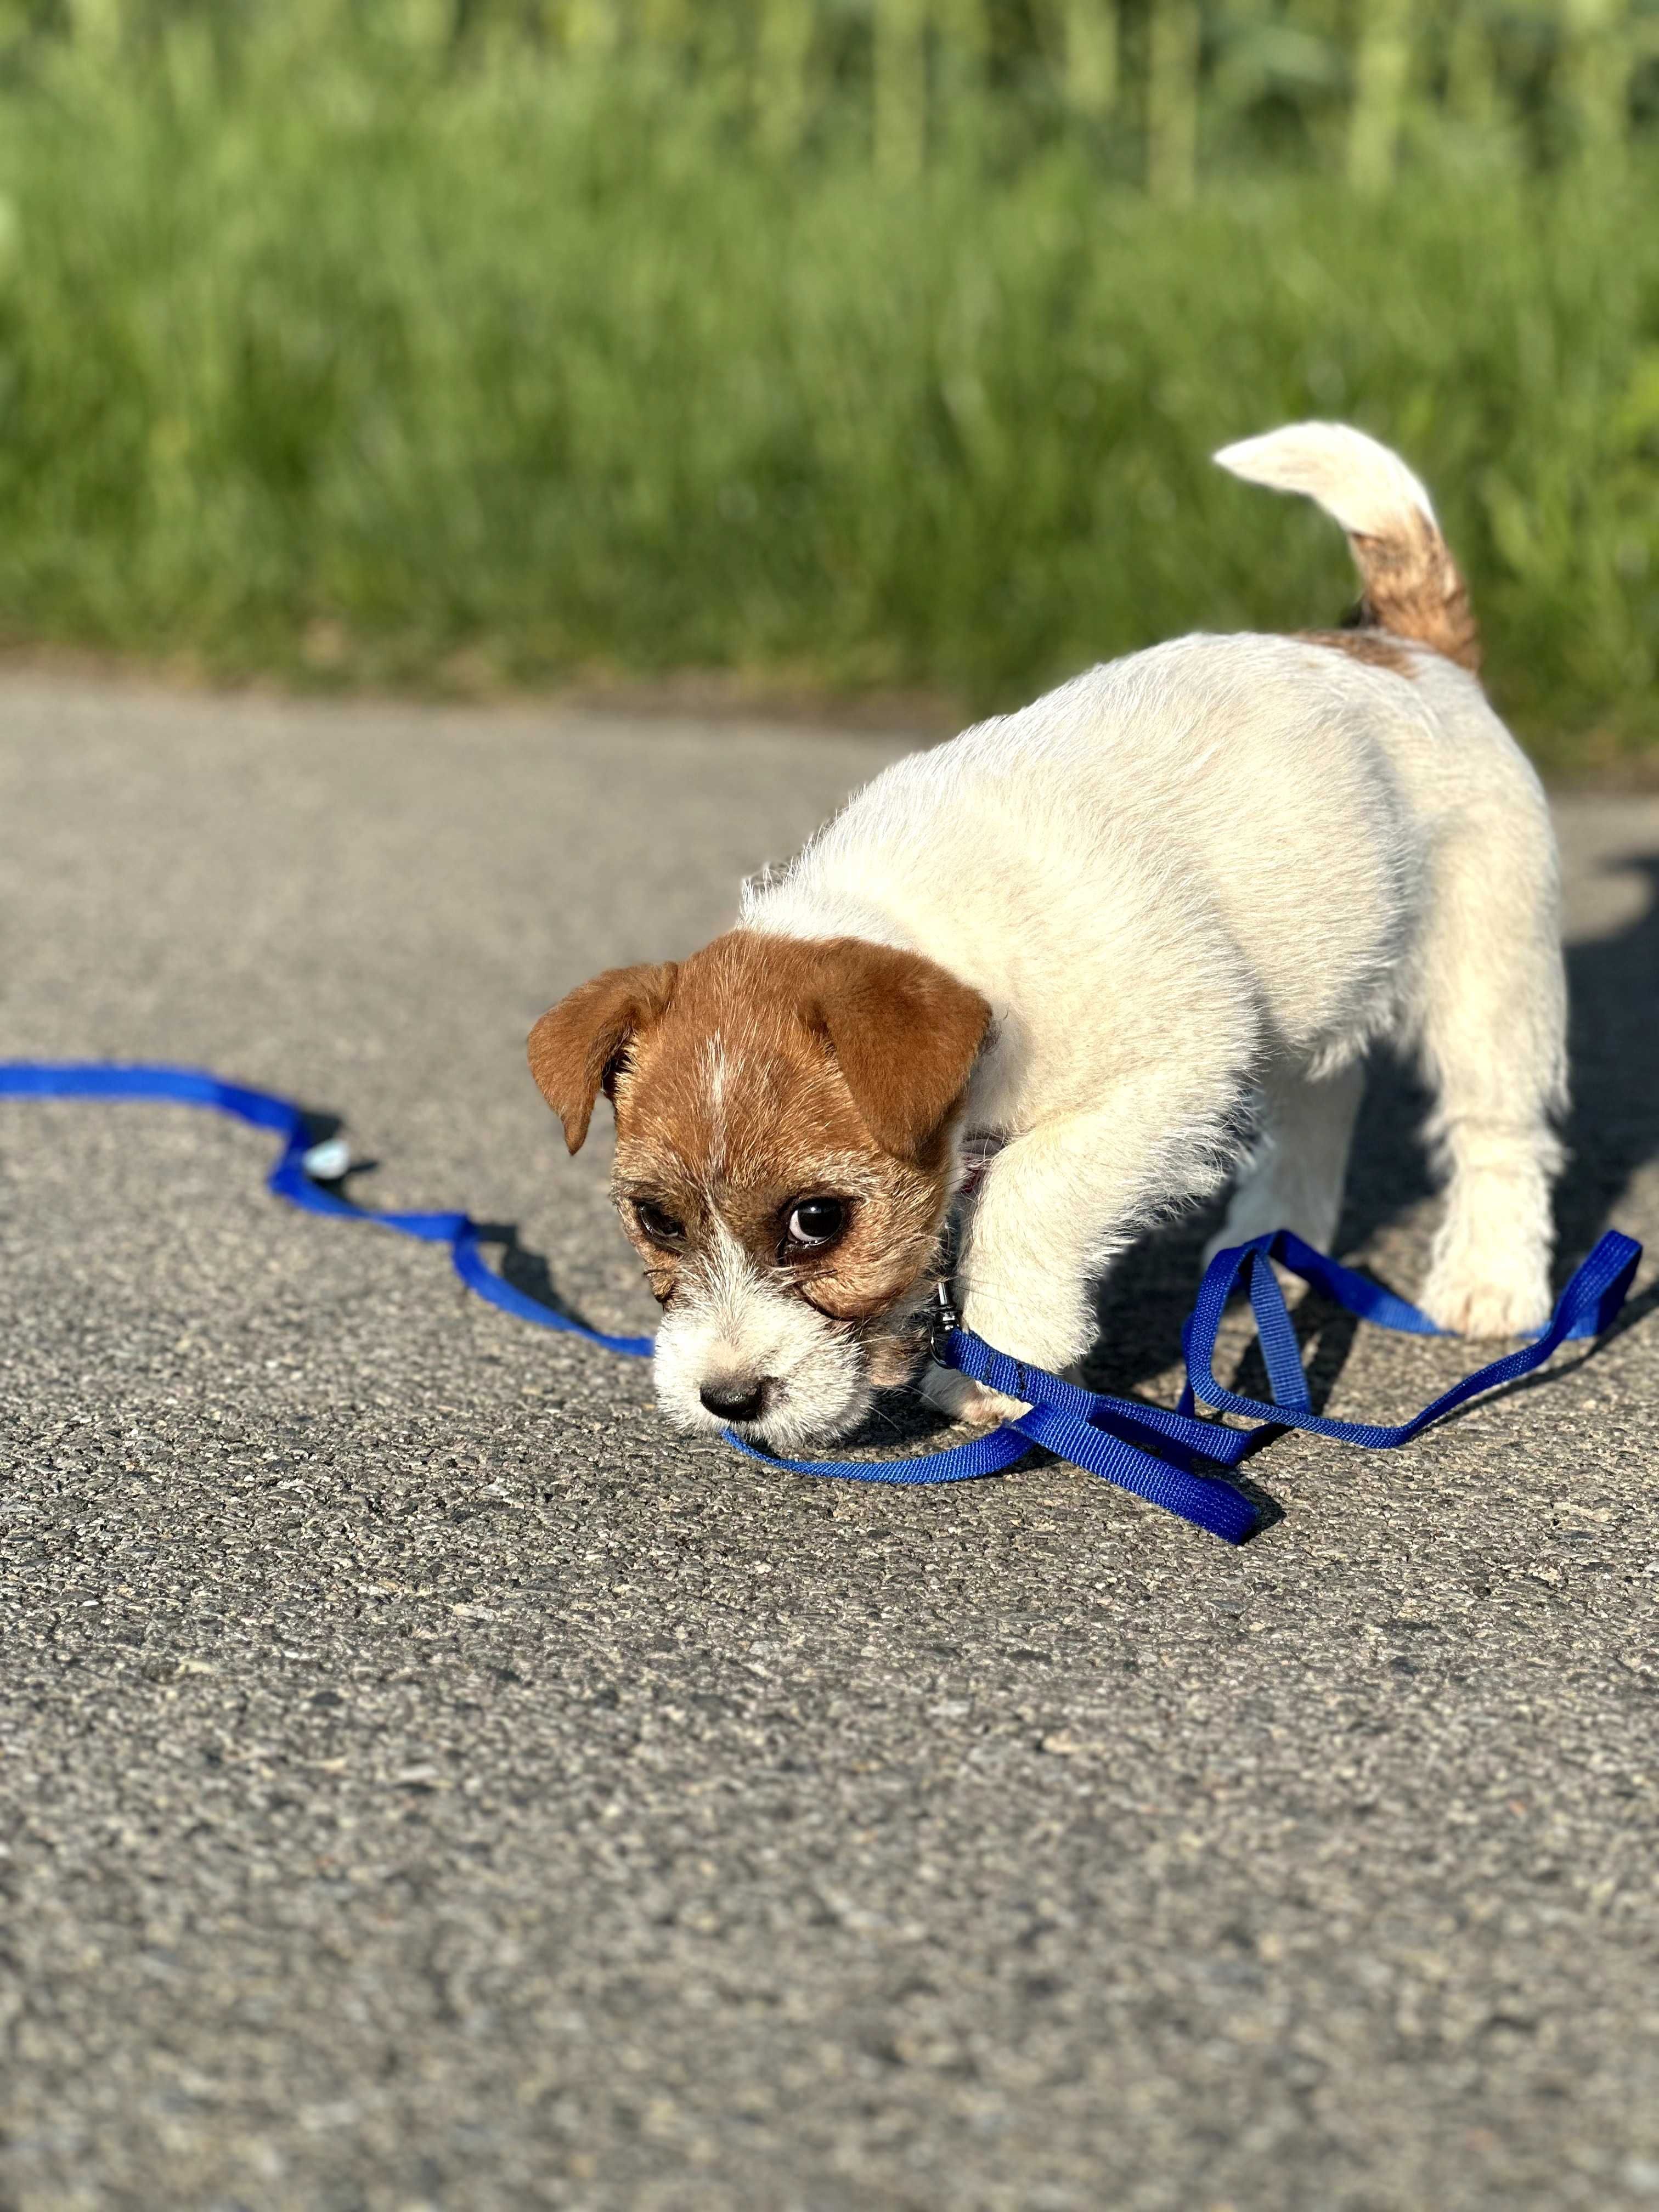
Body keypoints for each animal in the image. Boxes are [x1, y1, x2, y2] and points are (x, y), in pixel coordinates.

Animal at [528, 425, 1575, 1451]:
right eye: (657, 1220)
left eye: (817, 1219)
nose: (728, 1399)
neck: (935, 938)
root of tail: (1404, 647)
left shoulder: (1169, 1072)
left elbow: (1029, 1191)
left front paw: (1001, 1362)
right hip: (1323, 974)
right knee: (1324, 1098)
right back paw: (1272, 1240)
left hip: (1487, 965)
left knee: (1495, 1126)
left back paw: (1488, 1281)